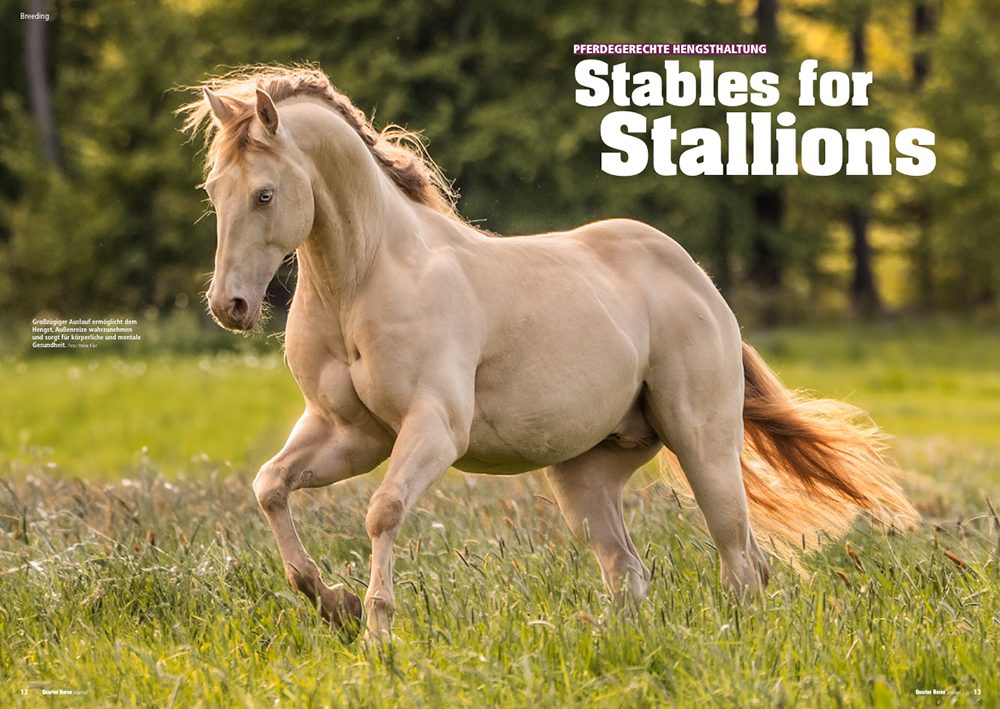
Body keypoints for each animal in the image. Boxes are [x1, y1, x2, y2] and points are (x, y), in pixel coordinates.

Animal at [180, 66, 917, 642]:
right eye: (214, 191)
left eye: (265, 193)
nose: (230, 305)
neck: (364, 277)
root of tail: (699, 286)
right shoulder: (347, 434)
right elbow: (270, 486)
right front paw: (332, 603)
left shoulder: (432, 429)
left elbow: (382, 510)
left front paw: (377, 630)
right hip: (586, 475)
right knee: (629, 572)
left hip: (703, 447)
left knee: (741, 563)